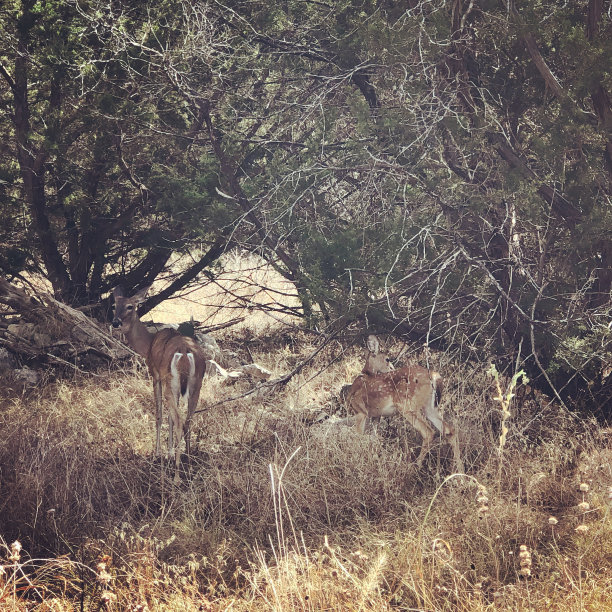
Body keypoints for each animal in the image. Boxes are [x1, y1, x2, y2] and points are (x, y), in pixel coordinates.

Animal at [110, 286, 206, 482]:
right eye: (114, 305)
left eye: (130, 306)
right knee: (188, 420)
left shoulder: (155, 375)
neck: (148, 345)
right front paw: (169, 453)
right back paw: (188, 463)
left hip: (171, 382)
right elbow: (169, 417)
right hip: (195, 385)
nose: (115, 323)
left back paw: (176, 475)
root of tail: (185, 353)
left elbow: (160, 415)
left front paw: (159, 454)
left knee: (179, 421)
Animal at [346, 338, 462, 470]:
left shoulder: (361, 411)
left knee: (428, 432)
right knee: (449, 430)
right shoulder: (376, 416)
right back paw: (460, 469)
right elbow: (373, 439)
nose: (392, 368)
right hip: (429, 407)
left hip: (407, 406)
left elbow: (359, 438)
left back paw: (415, 466)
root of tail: (434, 376)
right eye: (387, 359)